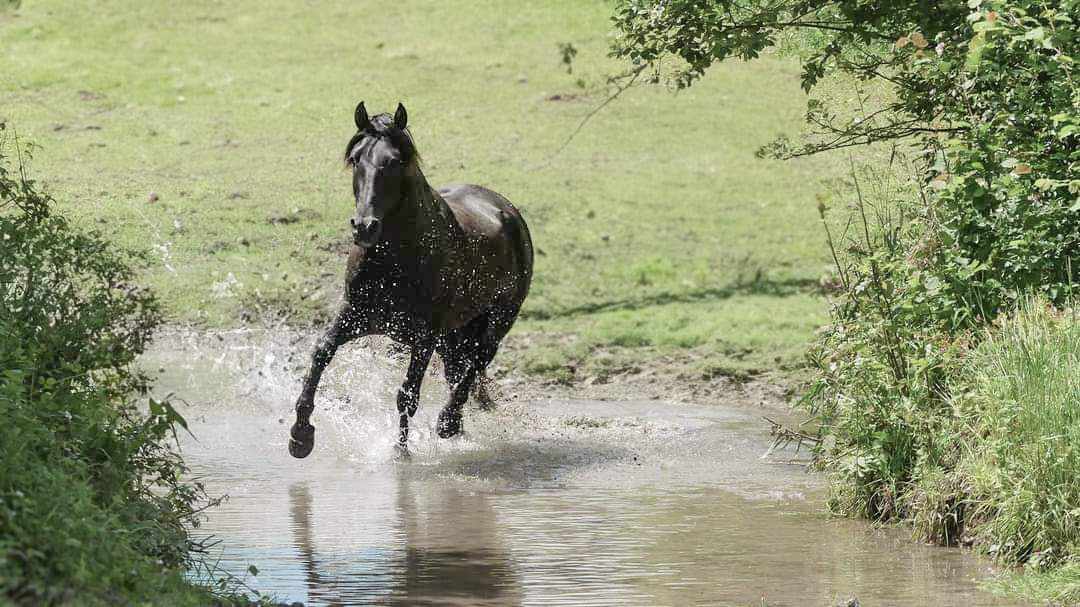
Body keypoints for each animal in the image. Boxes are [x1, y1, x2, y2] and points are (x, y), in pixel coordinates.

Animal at [289, 101, 533, 455]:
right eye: (356, 159)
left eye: (394, 161)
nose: (364, 227)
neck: (394, 263)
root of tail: (506, 209)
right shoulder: (353, 316)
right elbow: (320, 354)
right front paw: (300, 435)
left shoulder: (424, 337)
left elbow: (407, 396)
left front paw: (401, 453)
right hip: (454, 334)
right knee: (458, 371)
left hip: (498, 320)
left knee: (475, 364)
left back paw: (448, 423)